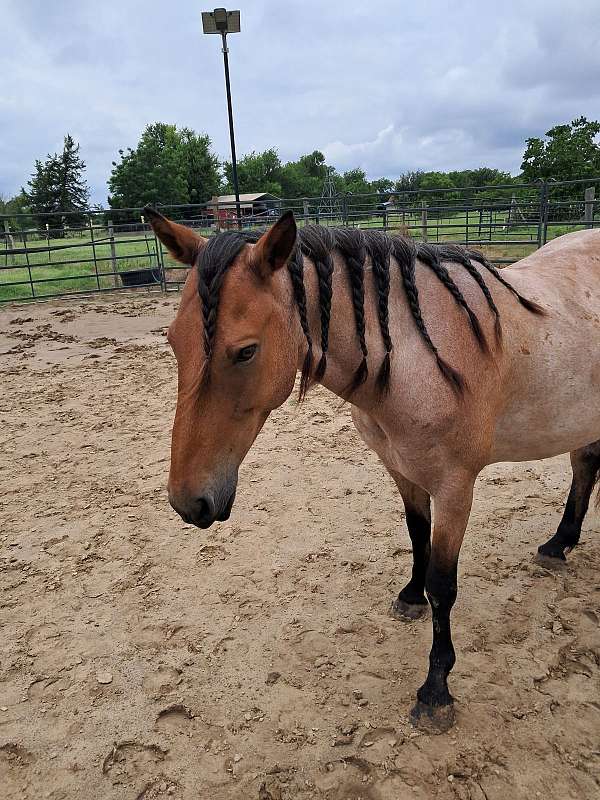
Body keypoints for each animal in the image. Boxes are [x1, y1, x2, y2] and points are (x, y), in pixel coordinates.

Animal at [145, 205, 600, 733]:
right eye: (173, 341)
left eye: (246, 351)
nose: (188, 502)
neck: (419, 359)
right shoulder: (403, 472)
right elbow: (417, 538)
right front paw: (410, 597)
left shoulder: (455, 488)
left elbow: (444, 585)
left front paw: (436, 690)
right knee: (586, 465)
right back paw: (558, 544)